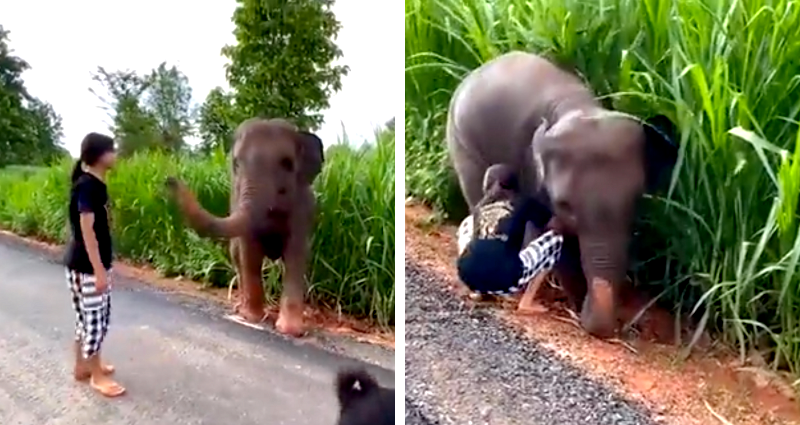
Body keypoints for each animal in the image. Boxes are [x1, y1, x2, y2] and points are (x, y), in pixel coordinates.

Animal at [167, 117, 324, 336]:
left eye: (287, 164)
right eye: (236, 164)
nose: (169, 180)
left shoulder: (303, 208)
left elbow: (296, 254)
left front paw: (290, 330)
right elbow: (250, 253)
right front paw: (252, 318)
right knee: (236, 256)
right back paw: (239, 309)